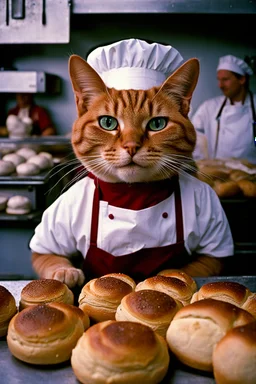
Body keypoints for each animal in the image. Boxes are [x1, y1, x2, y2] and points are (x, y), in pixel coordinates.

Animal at [30, 54, 234, 288]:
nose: (131, 146)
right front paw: (65, 271)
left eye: (157, 124)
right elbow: (50, 257)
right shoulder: (56, 226)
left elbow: (196, 267)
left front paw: (173, 274)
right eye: (107, 122)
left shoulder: (214, 253)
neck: (133, 197)